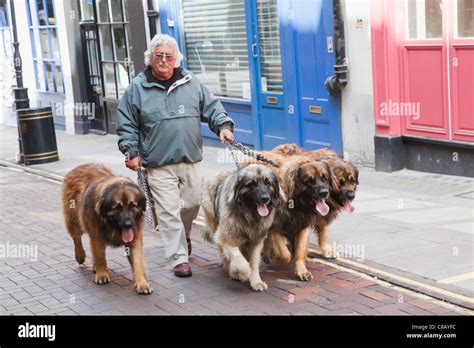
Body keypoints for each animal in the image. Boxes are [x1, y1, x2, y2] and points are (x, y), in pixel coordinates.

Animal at [60, 164, 151, 294]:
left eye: (132, 205)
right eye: (117, 207)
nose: (128, 224)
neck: (113, 224)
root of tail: (80, 166)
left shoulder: (135, 237)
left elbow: (137, 261)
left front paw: (141, 282)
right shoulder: (97, 235)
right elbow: (100, 256)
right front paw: (102, 274)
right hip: (74, 219)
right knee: (76, 238)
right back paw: (80, 255)